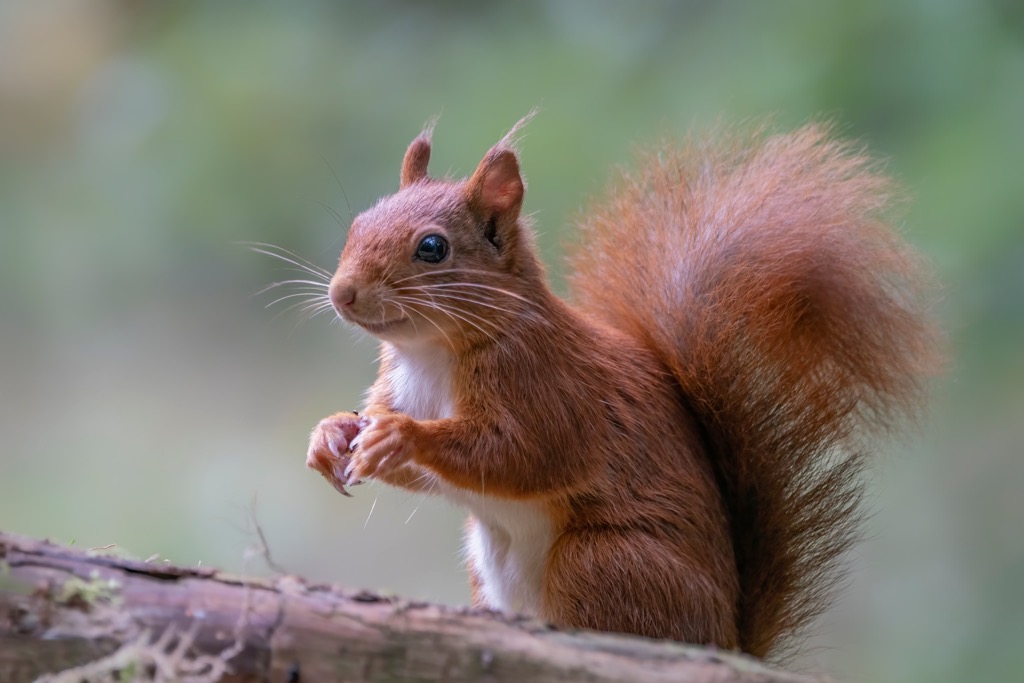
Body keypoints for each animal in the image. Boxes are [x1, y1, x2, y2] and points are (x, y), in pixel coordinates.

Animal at [304, 117, 940, 658]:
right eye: (359, 223)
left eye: (432, 247)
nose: (342, 294)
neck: (433, 354)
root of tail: (727, 639)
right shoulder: (399, 384)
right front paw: (331, 435)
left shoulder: (547, 386)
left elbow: (522, 455)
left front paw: (401, 437)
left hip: (603, 561)